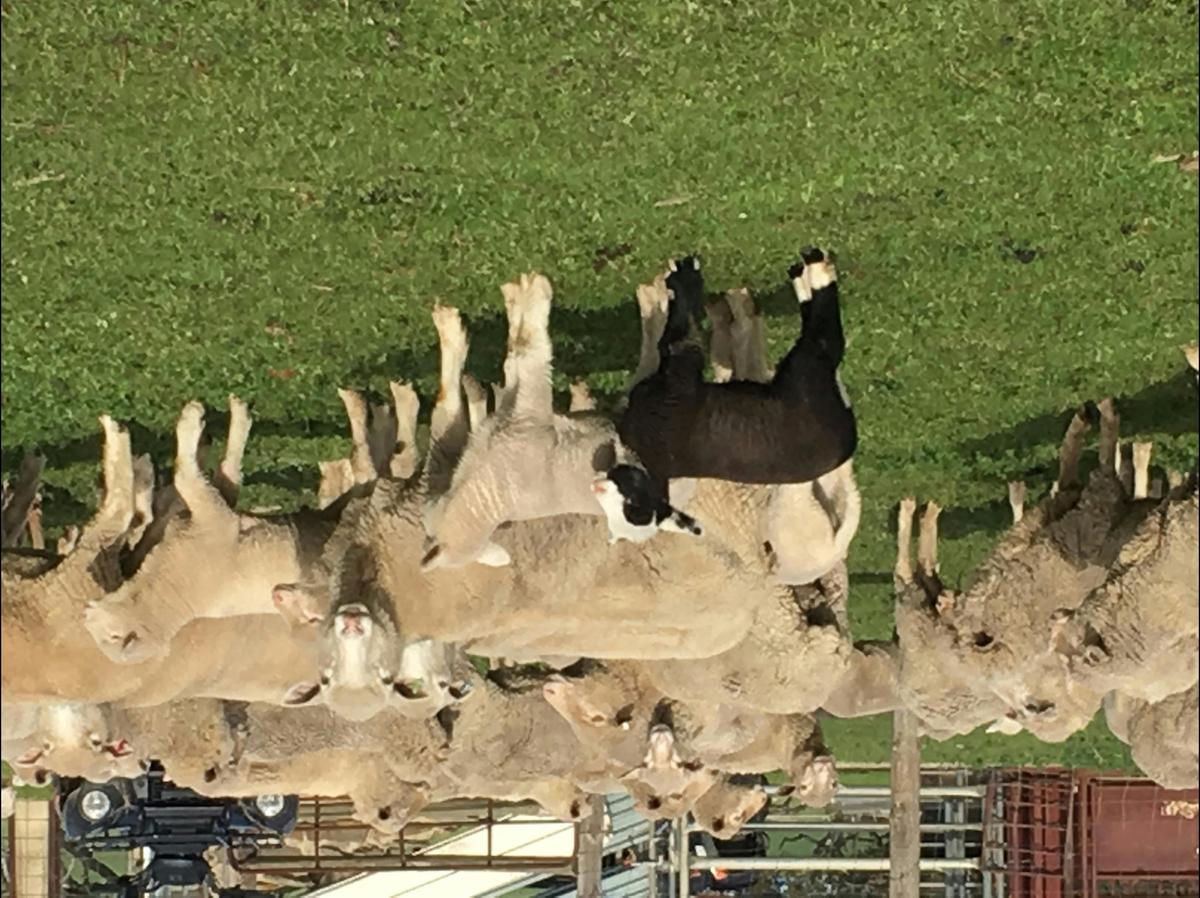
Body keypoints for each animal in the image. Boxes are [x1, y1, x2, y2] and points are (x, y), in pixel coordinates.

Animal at [419, 273, 698, 572]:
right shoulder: (523, 414)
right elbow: (524, 354)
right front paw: (527, 296)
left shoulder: (522, 411)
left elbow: (520, 356)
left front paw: (522, 296)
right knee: (652, 365)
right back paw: (653, 302)